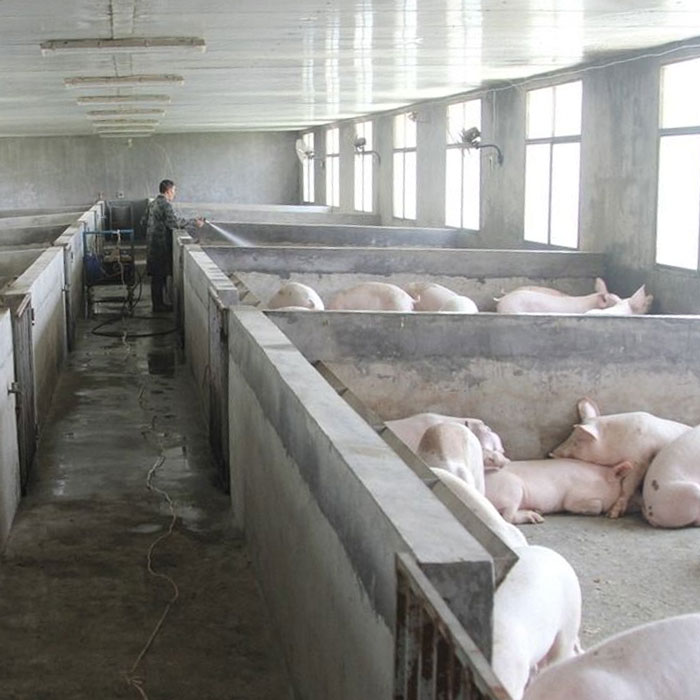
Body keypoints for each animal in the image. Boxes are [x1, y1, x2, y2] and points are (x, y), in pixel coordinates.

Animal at [484, 458, 632, 523]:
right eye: (620, 489)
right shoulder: (575, 496)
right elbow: (594, 505)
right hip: (512, 487)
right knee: (507, 518)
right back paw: (536, 518)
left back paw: (537, 512)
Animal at [550, 398, 690, 518]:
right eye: (570, 436)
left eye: (577, 441)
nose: (551, 454)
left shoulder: (639, 460)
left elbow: (627, 486)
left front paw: (611, 515)